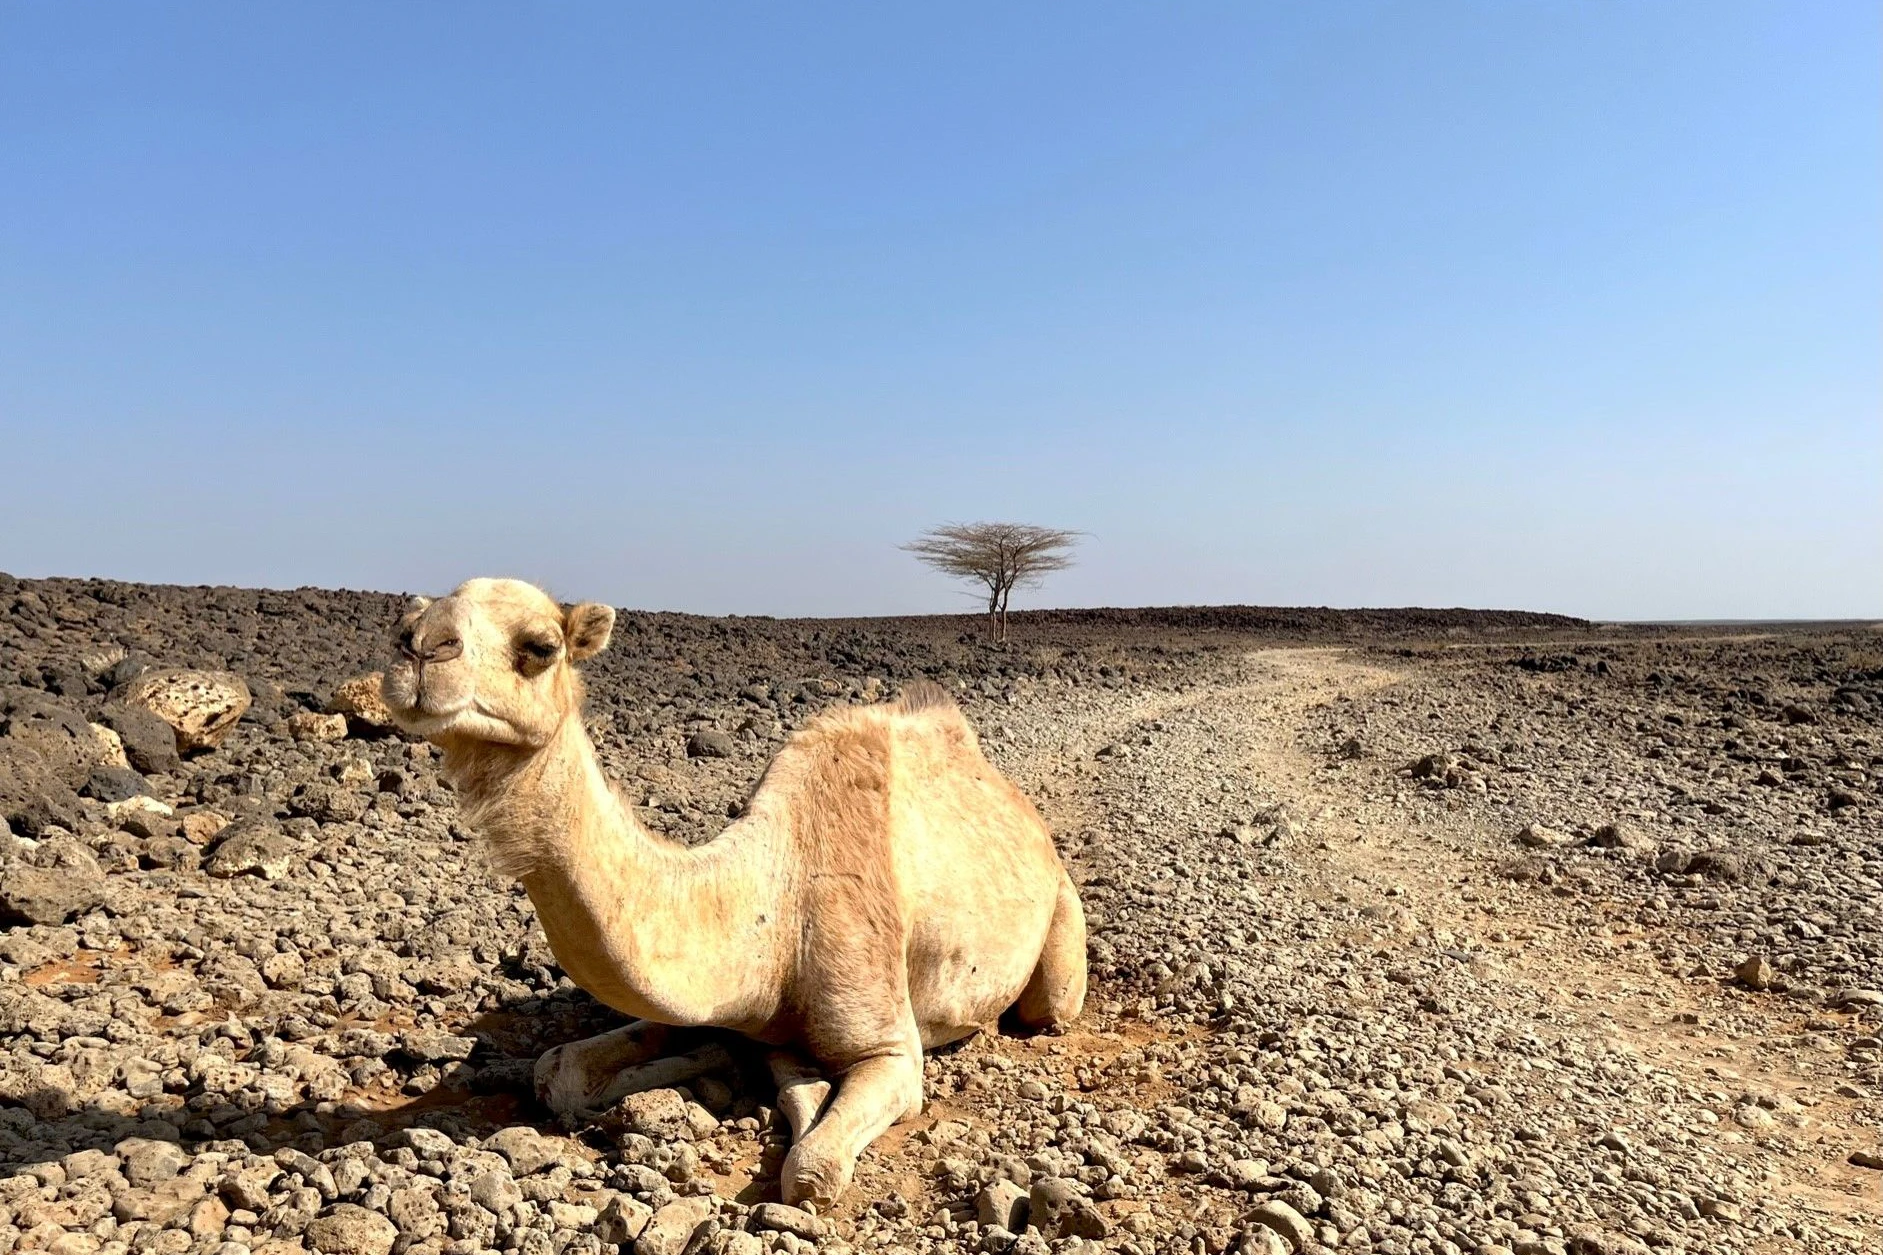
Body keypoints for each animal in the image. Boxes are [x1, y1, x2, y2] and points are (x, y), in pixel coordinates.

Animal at [380, 578, 1086, 1208]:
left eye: (541, 646)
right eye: (407, 618)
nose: (418, 646)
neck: (776, 910)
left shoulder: (891, 1048)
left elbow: (811, 1170)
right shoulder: (714, 1001)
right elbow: (557, 1071)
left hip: (1059, 936)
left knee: (1047, 1006)